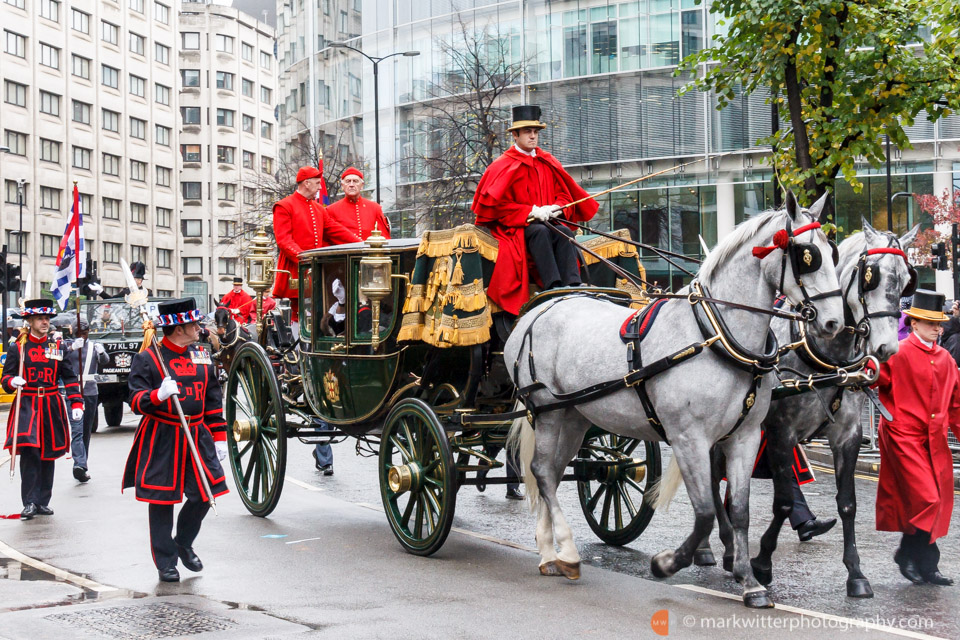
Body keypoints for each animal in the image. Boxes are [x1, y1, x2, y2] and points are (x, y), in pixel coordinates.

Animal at [506, 194, 844, 604]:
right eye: (807, 255)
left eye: (833, 252)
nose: (834, 323)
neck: (714, 336)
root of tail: (539, 310)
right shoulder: (689, 439)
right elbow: (705, 512)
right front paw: (667, 563)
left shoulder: (744, 438)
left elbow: (740, 510)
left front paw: (749, 581)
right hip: (548, 414)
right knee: (541, 472)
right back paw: (567, 552)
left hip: (574, 416)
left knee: (549, 474)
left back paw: (548, 553)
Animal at [704, 220, 916, 600]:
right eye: (871, 276)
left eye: (908, 279)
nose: (886, 348)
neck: (826, 357)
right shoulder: (781, 433)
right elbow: (784, 501)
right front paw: (762, 562)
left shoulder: (848, 435)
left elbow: (847, 503)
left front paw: (856, 573)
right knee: (712, 478)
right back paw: (720, 548)